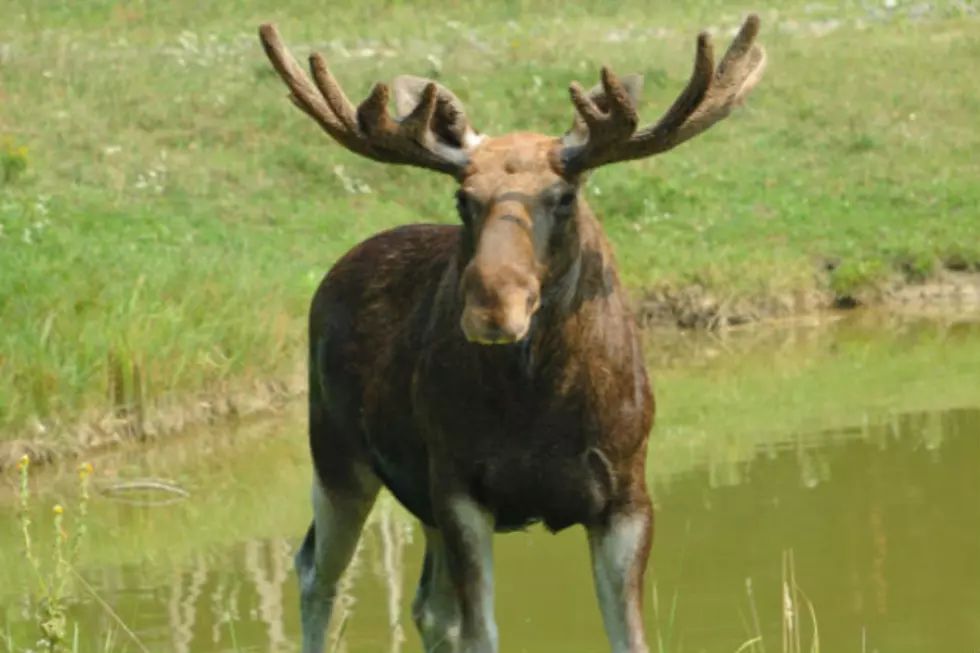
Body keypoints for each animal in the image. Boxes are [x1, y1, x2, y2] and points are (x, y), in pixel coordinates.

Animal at [258, 14, 764, 652]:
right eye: (463, 197)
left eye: (565, 196)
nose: (492, 308)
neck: (541, 406)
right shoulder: (460, 486)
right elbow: (482, 632)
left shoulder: (627, 493)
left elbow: (629, 638)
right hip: (337, 452)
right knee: (315, 573)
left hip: (414, 496)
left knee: (426, 607)